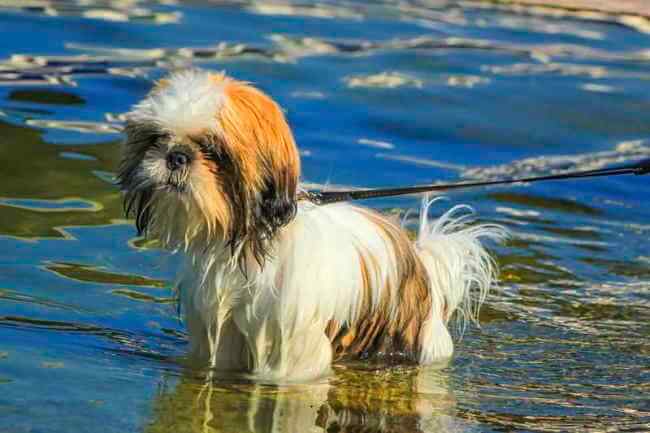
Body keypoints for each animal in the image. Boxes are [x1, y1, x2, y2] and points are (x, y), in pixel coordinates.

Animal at [117, 69, 502, 380]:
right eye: (157, 139)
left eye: (213, 149)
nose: (176, 156)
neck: (247, 245)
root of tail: (422, 261)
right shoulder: (220, 331)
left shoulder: (290, 340)